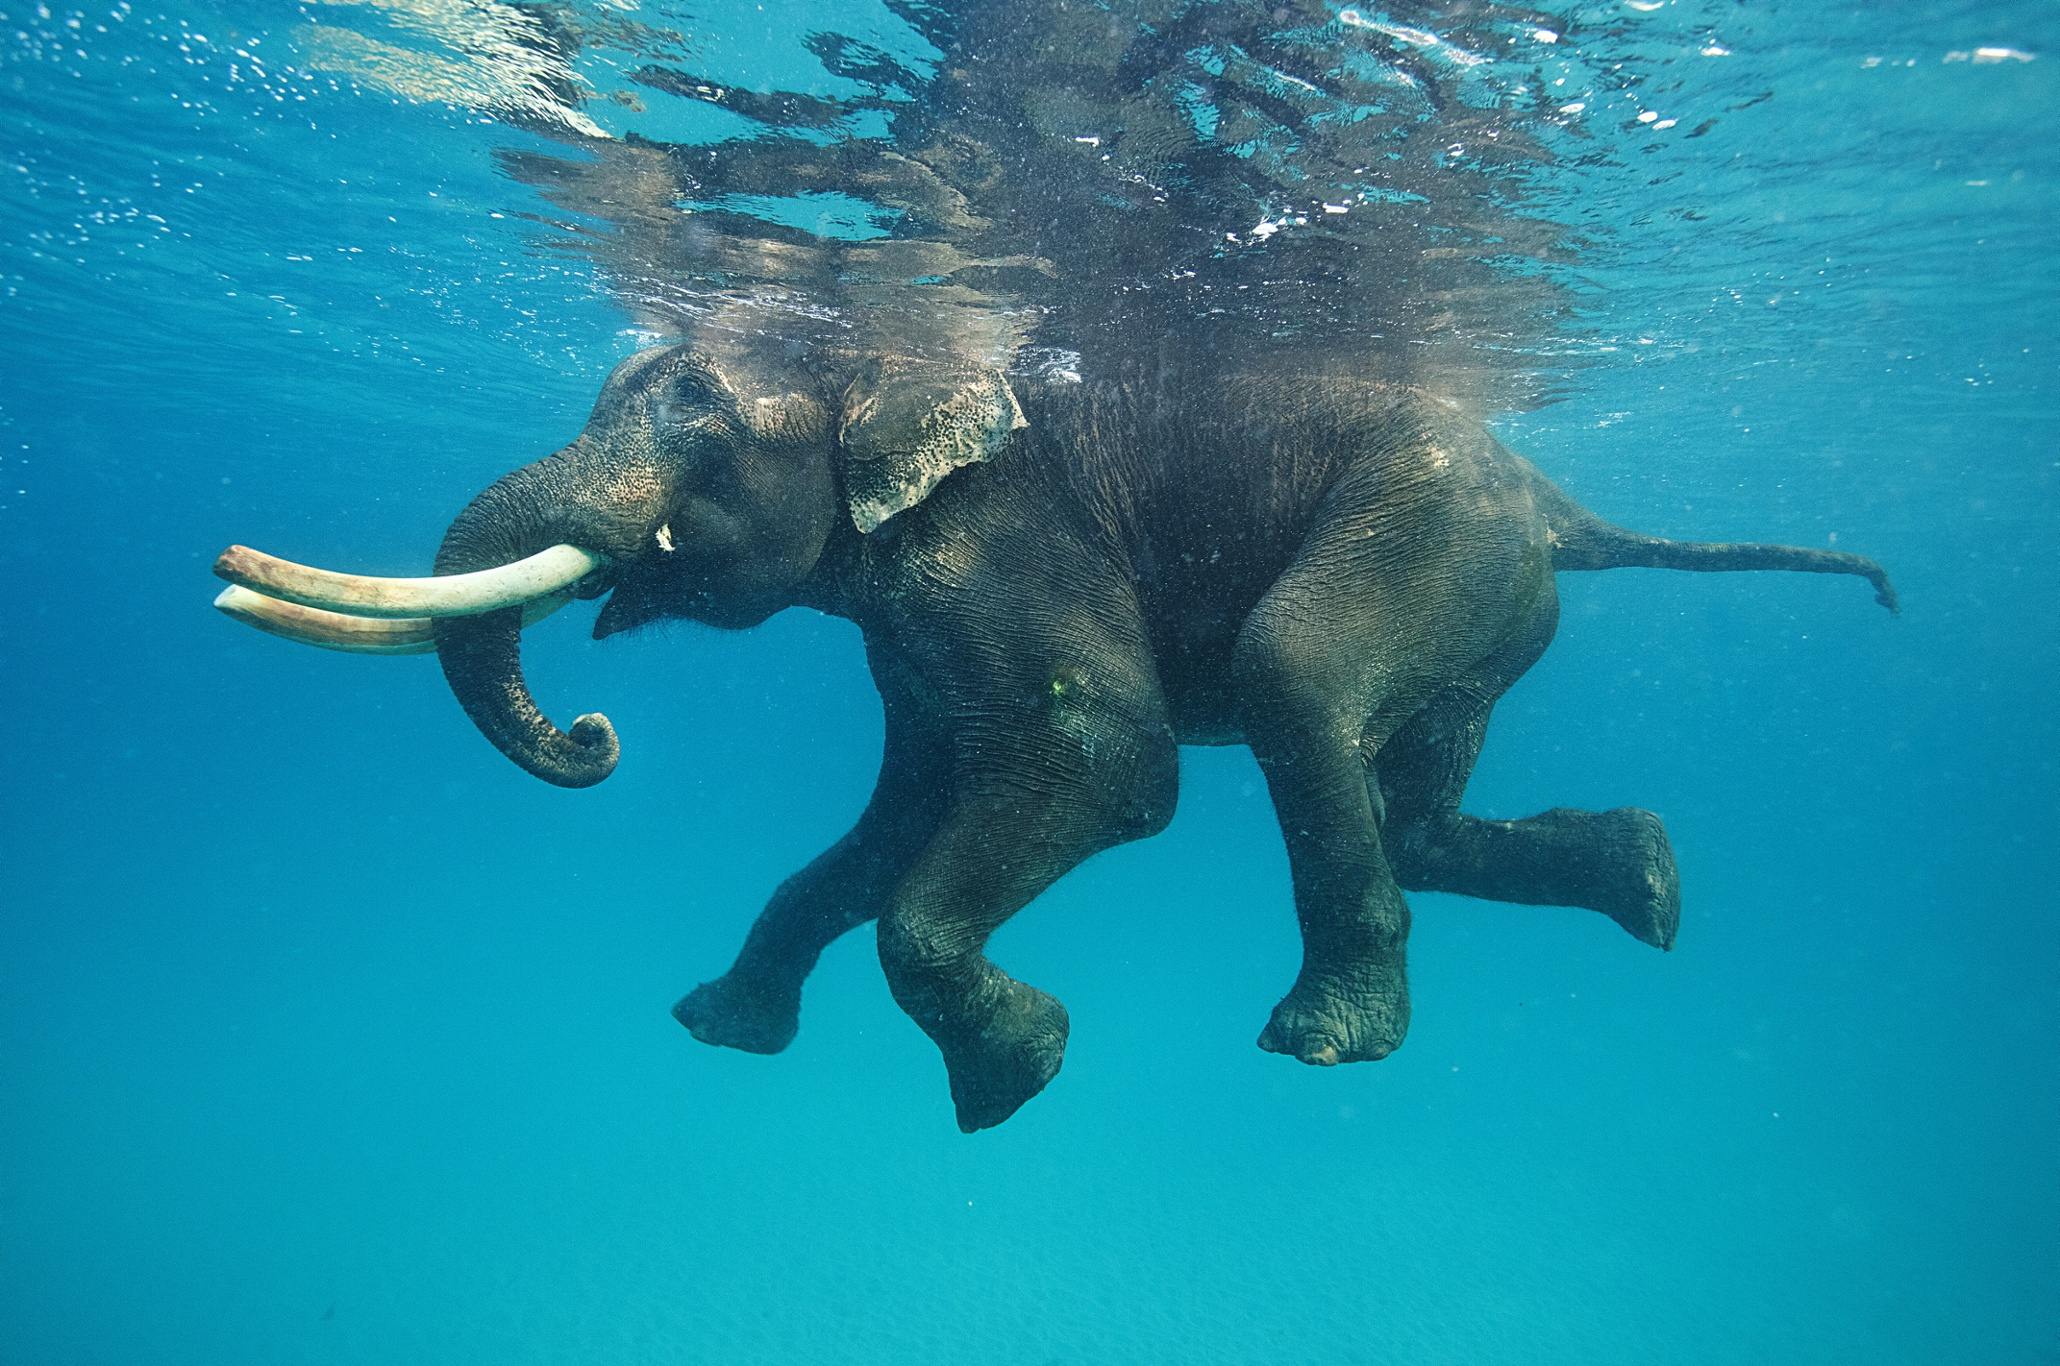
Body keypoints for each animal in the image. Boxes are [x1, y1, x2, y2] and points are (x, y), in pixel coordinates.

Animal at [213, 342, 1895, 1129]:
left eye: (697, 416)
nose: (589, 728)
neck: (885, 361)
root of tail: (1560, 499)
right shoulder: (905, 621)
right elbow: (891, 821)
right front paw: (716, 1028)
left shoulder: (1008, 542)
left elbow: (1108, 767)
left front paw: (1013, 1075)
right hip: (1487, 598)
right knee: (1409, 803)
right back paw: (1653, 881)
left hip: (1435, 538)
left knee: (1297, 680)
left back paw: (1327, 1038)